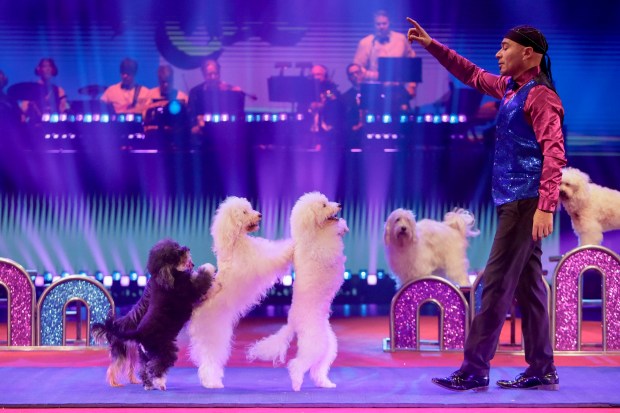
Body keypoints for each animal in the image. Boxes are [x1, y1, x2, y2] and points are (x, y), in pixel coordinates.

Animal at [93, 239, 214, 390]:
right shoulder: (190, 289)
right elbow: (202, 280)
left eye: (177, 246)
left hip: (143, 354)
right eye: (177, 253)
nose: (186, 248)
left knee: (144, 369)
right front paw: (208, 267)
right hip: (162, 350)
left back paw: (147, 384)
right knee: (153, 367)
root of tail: (139, 334)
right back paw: (155, 382)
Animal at [188, 196, 294, 389]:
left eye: (250, 208)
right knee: (208, 362)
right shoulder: (262, 259)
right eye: (244, 212)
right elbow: (277, 254)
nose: (259, 215)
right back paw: (212, 383)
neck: (235, 243)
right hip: (214, 336)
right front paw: (292, 246)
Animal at [247, 192, 348, 391]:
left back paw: (325, 383)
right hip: (315, 342)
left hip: (328, 344)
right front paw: (339, 229)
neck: (312, 234)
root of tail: (292, 322)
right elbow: (331, 241)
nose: (340, 205)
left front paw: (342, 226)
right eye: (324, 205)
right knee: (298, 364)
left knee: (318, 368)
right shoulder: (324, 248)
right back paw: (296, 382)